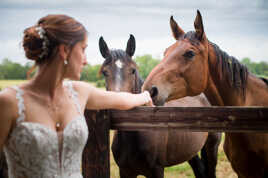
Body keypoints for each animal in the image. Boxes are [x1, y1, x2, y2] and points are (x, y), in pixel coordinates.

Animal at [99, 35, 221, 178]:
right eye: (105, 72)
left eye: (133, 70)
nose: (118, 104)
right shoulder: (125, 172)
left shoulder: (156, 170)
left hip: (212, 146)